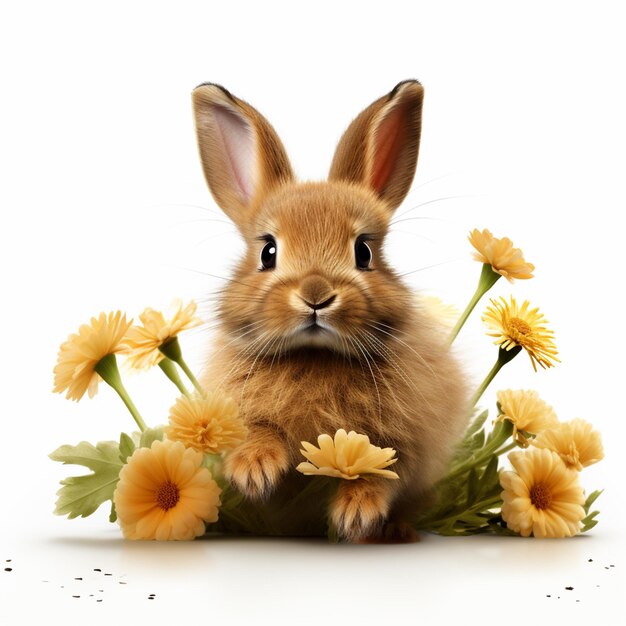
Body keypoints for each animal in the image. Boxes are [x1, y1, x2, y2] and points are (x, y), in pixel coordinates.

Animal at [193, 80, 466, 540]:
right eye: (268, 251)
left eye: (364, 251)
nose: (316, 294)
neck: (316, 355)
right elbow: (258, 433)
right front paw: (254, 472)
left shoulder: (402, 442)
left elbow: (381, 472)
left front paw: (356, 514)